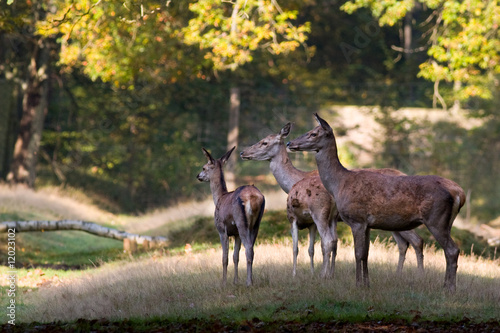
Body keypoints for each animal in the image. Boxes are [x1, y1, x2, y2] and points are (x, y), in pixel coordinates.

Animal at [196, 147, 266, 286]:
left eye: (204, 167)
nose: (198, 176)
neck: (219, 198)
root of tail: (254, 197)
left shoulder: (222, 229)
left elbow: (225, 257)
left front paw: (224, 282)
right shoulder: (236, 233)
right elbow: (235, 257)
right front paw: (235, 281)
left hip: (241, 221)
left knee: (248, 249)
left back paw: (249, 282)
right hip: (256, 223)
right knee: (252, 249)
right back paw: (250, 280)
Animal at [241, 122, 426, 278]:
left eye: (264, 142)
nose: (243, 152)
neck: (295, 180)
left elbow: (323, 244)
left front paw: (320, 273)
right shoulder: (334, 218)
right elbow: (333, 244)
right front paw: (331, 273)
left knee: (416, 240)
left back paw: (418, 274)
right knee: (403, 244)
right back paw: (398, 274)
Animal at [288, 113, 466, 290]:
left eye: (313, 134)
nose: (290, 143)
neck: (339, 184)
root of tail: (459, 193)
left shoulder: (357, 219)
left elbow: (357, 253)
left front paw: (358, 284)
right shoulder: (367, 224)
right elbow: (365, 254)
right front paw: (367, 283)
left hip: (436, 219)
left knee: (452, 250)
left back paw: (449, 288)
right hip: (447, 222)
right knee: (448, 250)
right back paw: (446, 285)